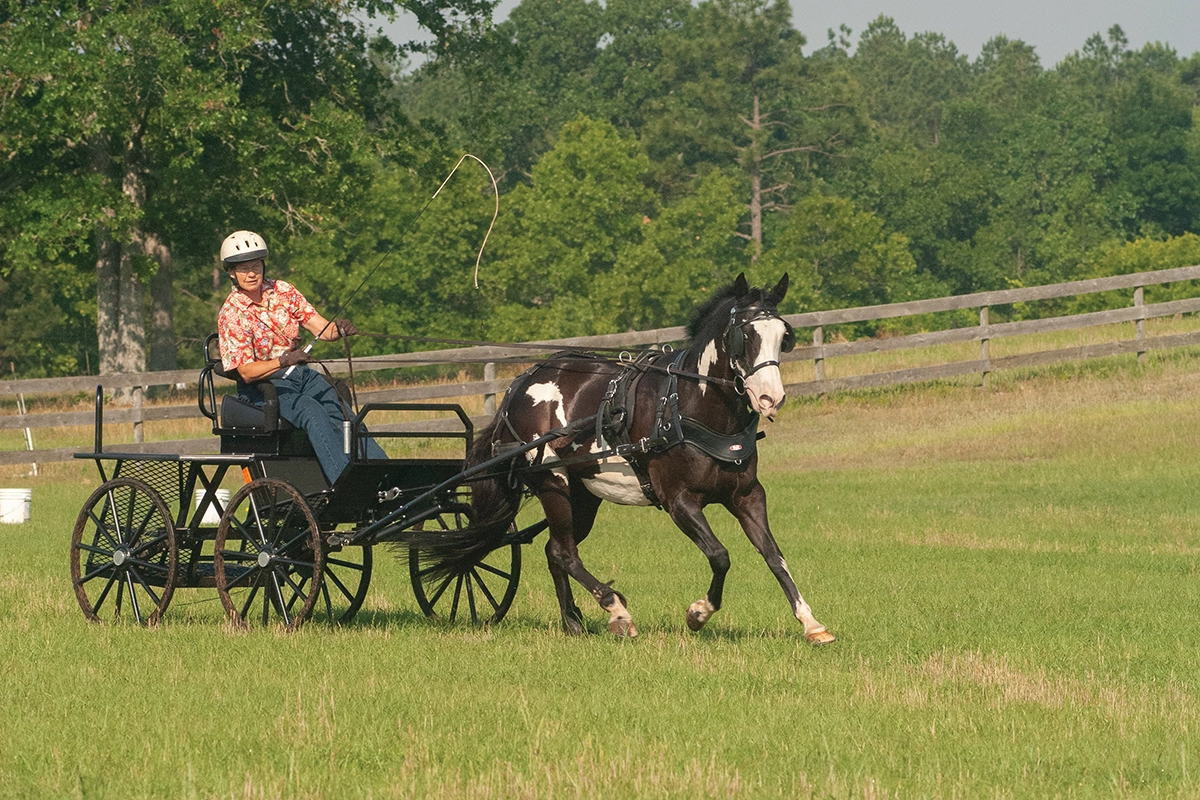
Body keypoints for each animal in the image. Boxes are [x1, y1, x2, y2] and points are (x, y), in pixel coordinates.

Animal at [413, 273, 835, 643]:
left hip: (582, 495)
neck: (689, 405)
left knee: (555, 550)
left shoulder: (747, 496)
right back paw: (615, 610)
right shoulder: (679, 501)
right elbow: (720, 555)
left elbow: (774, 556)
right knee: (565, 552)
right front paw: (698, 613)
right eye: (744, 334)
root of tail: (518, 386)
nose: (770, 398)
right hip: (553, 484)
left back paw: (573, 621)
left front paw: (811, 623)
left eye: (784, 335)